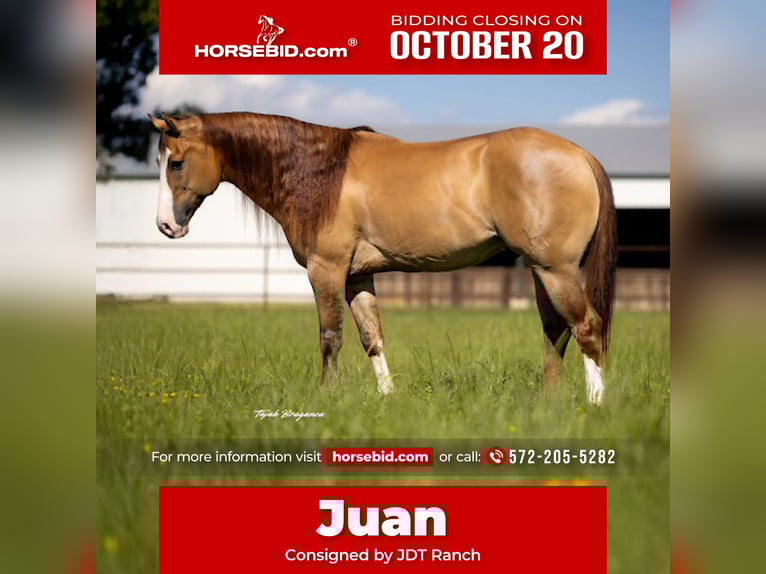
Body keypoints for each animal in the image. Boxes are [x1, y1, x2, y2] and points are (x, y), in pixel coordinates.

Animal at [148, 112, 617, 405]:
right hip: (542, 272)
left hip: (556, 271)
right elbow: (371, 337)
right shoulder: (358, 277)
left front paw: (326, 397)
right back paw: (549, 404)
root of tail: (580, 155)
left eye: (175, 163)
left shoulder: (327, 271)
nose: (166, 226)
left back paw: (595, 403)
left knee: (587, 328)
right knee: (556, 331)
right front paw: (387, 398)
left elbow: (330, 337)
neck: (319, 172)